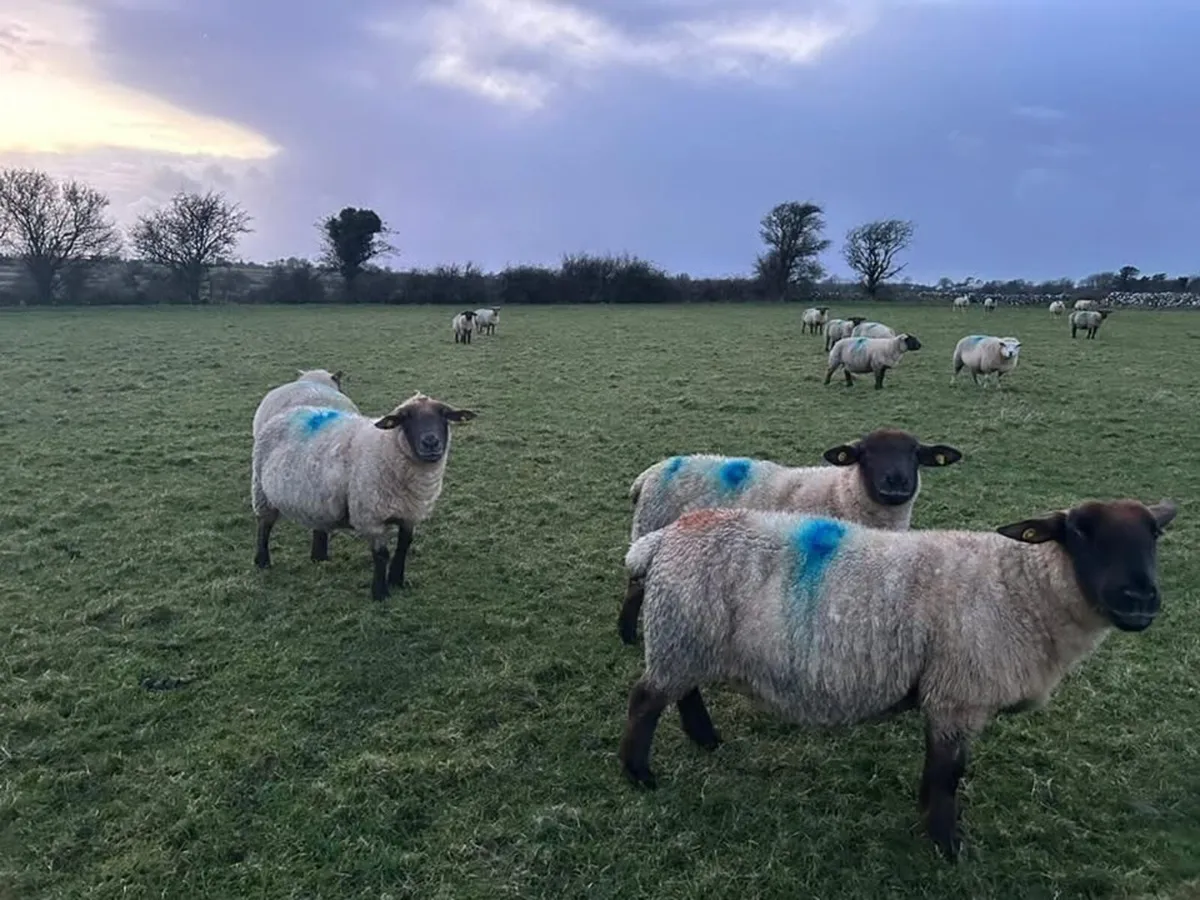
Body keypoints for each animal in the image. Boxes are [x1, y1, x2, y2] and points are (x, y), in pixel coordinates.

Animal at [251, 392, 477, 601]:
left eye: (445, 415)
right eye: (405, 418)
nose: (431, 442)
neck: (388, 447)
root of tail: (287, 413)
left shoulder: (409, 513)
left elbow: (404, 546)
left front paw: (397, 580)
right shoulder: (371, 516)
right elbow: (381, 555)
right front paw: (380, 593)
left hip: (317, 498)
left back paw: (319, 557)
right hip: (261, 491)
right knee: (264, 525)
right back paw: (262, 561)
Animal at [616, 497, 1178, 861]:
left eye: (1154, 534)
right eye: (1080, 531)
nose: (1140, 599)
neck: (1018, 586)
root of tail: (665, 537)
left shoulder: (951, 695)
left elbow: (941, 770)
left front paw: (929, 818)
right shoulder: (958, 695)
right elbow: (949, 773)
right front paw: (946, 844)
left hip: (688, 638)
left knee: (682, 692)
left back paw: (704, 738)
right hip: (682, 631)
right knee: (645, 698)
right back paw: (638, 773)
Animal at [621, 428, 964, 644]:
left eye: (916, 454)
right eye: (865, 454)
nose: (896, 482)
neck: (843, 493)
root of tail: (649, 474)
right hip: (649, 529)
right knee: (635, 586)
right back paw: (628, 636)